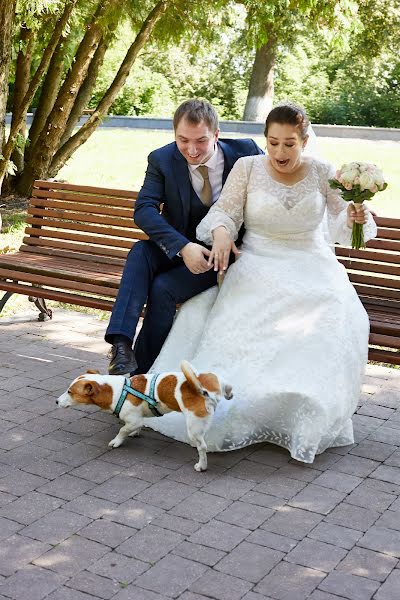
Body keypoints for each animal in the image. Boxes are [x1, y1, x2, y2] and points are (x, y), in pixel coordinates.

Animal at [55, 360, 231, 474]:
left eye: (70, 392)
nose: (56, 401)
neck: (115, 390)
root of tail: (205, 389)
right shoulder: (139, 418)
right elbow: (133, 427)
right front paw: (134, 433)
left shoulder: (134, 420)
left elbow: (122, 430)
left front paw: (117, 441)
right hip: (218, 383)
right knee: (228, 387)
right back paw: (229, 392)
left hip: (194, 426)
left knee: (202, 447)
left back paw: (201, 465)